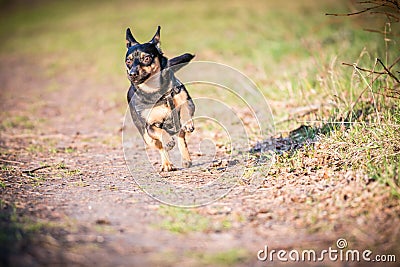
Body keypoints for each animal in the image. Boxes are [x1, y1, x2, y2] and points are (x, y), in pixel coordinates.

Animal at [124, 26, 195, 172]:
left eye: (146, 58)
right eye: (128, 61)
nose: (132, 73)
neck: (156, 91)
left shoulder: (187, 100)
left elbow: (185, 108)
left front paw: (188, 122)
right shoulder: (150, 126)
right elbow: (160, 133)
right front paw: (167, 141)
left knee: (180, 134)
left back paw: (186, 159)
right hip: (147, 137)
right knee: (160, 146)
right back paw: (167, 163)